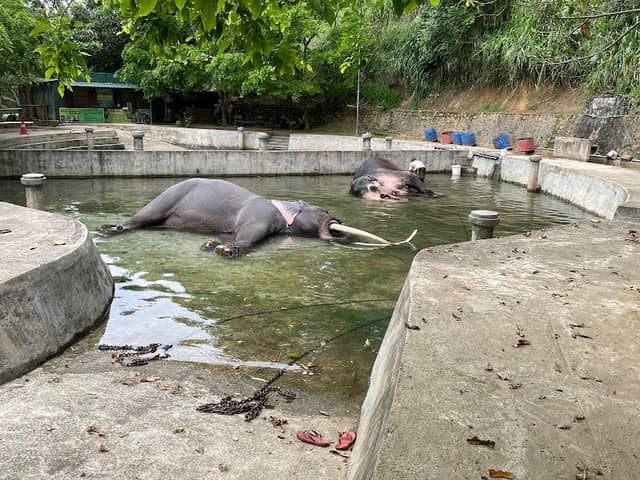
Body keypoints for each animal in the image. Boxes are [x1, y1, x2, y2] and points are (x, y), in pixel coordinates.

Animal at [103, 178, 384, 257]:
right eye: (324, 211)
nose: (340, 221)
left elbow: (227, 234)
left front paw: (212, 244)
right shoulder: (260, 214)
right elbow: (250, 233)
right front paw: (225, 250)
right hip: (168, 196)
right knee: (143, 216)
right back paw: (109, 229)